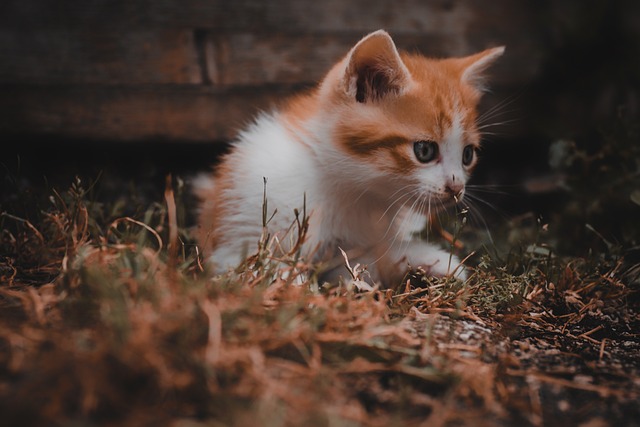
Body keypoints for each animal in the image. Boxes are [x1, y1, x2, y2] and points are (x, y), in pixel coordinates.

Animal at [192, 29, 502, 284]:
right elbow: (264, 266)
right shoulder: (237, 239)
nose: (456, 187)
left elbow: (369, 260)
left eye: (467, 154)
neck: (348, 190)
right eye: (424, 151)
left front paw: (435, 261)